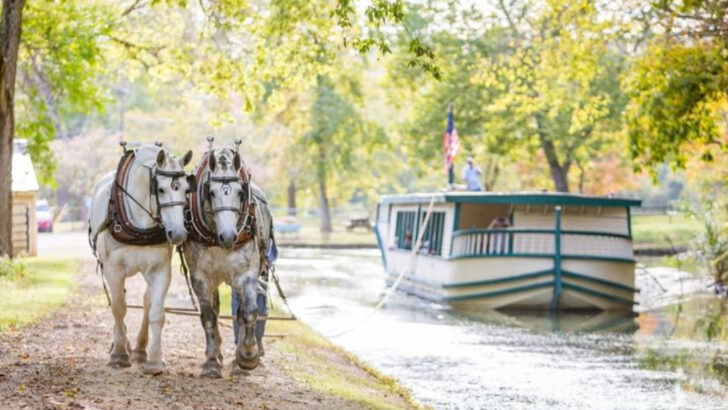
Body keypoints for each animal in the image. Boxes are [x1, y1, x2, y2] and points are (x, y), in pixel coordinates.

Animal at [88, 144, 193, 375]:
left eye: (185, 189)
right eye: (160, 189)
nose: (179, 233)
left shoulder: (160, 270)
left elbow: (156, 313)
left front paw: (154, 360)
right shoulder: (113, 269)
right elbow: (118, 308)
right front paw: (119, 354)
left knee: (146, 302)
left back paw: (139, 350)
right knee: (118, 302)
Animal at [183, 146, 274, 378]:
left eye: (240, 192)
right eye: (211, 192)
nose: (228, 236)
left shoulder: (247, 274)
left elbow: (248, 312)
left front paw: (248, 356)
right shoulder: (200, 277)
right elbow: (208, 316)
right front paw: (211, 362)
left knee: (240, 311)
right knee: (215, 309)